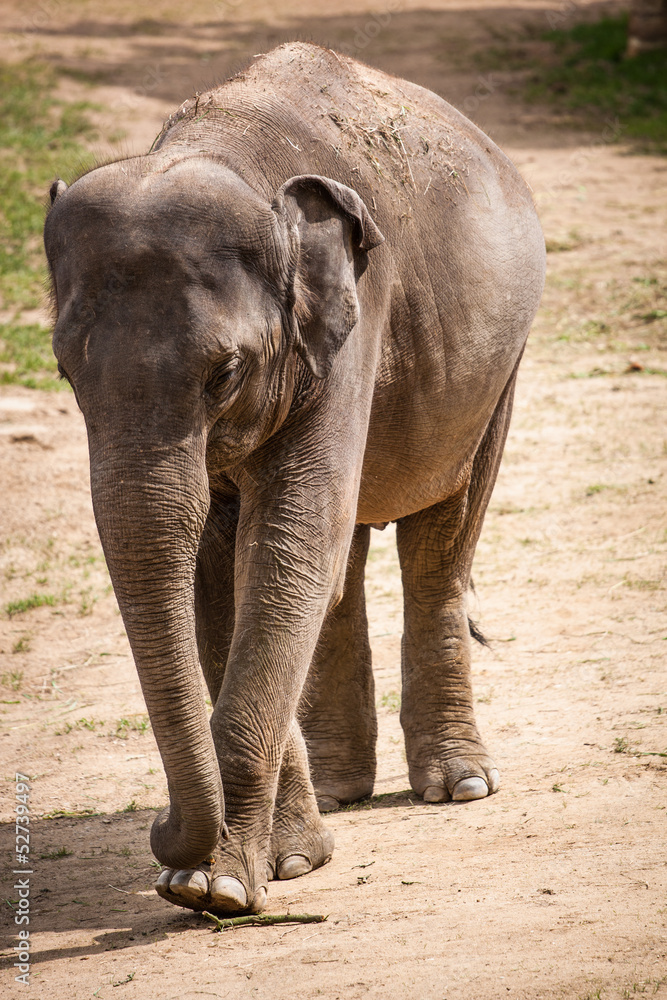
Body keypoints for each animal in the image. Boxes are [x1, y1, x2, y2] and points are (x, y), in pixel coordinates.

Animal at [44, 42, 545, 916]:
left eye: (225, 373)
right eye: (65, 373)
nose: (163, 830)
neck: (224, 153)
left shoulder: (349, 322)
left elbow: (284, 540)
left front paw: (219, 888)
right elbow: (225, 565)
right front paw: (264, 866)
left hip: (496, 369)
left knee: (440, 538)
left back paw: (460, 785)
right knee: (341, 568)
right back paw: (344, 792)